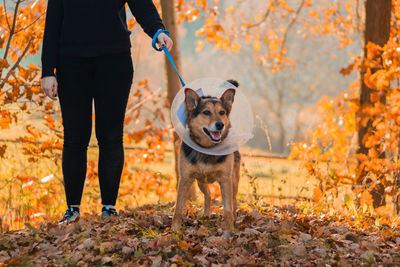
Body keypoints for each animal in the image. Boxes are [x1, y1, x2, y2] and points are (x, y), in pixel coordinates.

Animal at [171, 79, 241, 232]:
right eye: (206, 112)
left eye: (222, 112)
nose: (220, 125)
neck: (207, 149)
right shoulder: (185, 179)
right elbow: (178, 208)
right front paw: (174, 230)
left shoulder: (225, 179)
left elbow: (227, 209)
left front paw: (229, 230)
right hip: (200, 181)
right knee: (208, 195)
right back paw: (206, 214)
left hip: (234, 180)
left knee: (233, 200)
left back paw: (235, 217)